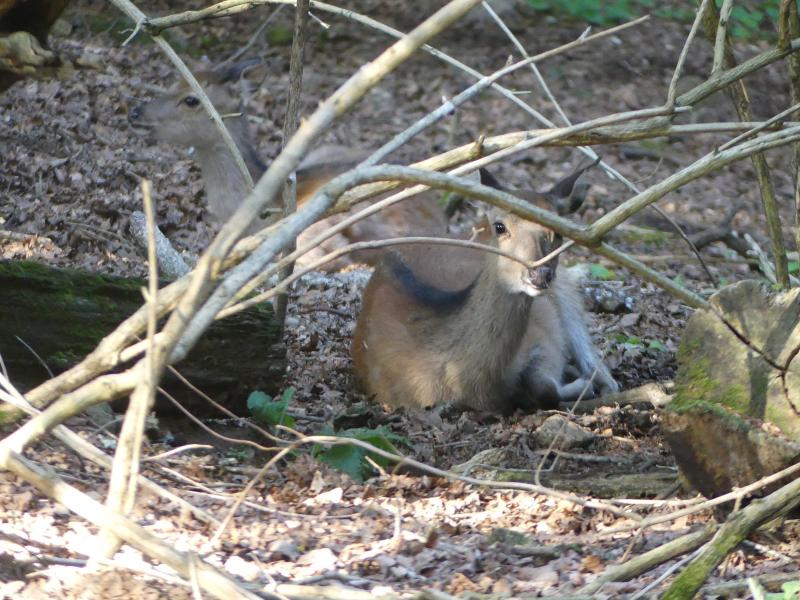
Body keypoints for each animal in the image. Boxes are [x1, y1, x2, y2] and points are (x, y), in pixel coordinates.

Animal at [351, 164, 618, 413]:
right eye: (500, 226)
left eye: (559, 232)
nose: (539, 274)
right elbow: (544, 390)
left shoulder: (545, 335)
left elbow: (545, 388)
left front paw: (582, 384)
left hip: (563, 287)